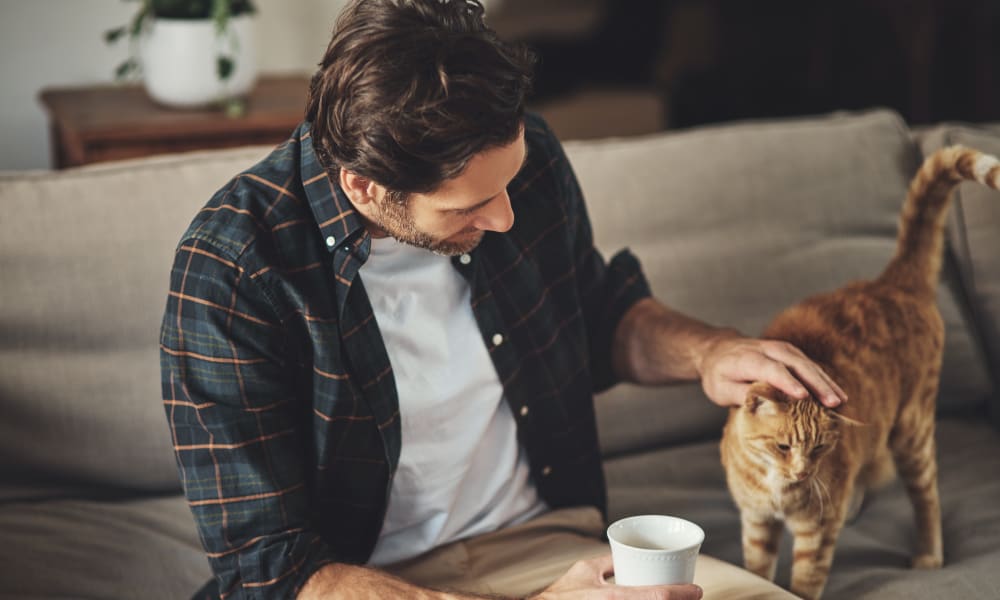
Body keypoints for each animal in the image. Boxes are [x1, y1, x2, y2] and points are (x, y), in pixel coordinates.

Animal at [724, 146, 996, 600]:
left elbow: (802, 583)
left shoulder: (816, 532)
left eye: (819, 449)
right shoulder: (757, 522)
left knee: (927, 499)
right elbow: (757, 570)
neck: (779, 490)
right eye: (783, 447)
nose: (803, 472)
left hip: (912, 433)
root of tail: (891, 282)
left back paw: (928, 554)